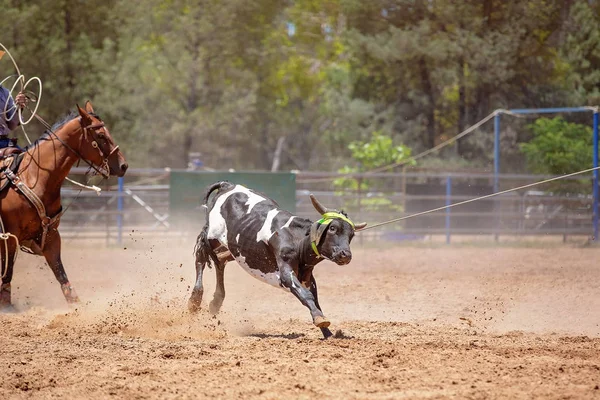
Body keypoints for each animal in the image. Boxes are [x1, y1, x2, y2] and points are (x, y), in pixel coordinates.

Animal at [0, 101, 127, 310]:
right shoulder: (10, 236)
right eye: (100, 136)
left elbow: (61, 273)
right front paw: (6, 305)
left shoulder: (51, 235)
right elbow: (8, 270)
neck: (34, 177)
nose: (124, 165)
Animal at [189, 181, 366, 338]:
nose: (345, 254)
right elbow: (306, 295)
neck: (297, 239)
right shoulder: (286, 273)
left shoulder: (308, 277)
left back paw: (216, 301)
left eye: (351, 234)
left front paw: (327, 332)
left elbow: (314, 298)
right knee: (201, 257)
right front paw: (320, 319)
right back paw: (195, 300)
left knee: (220, 262)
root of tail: (227, 185)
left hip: (233, 248)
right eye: (333, 228)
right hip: (212, 236)